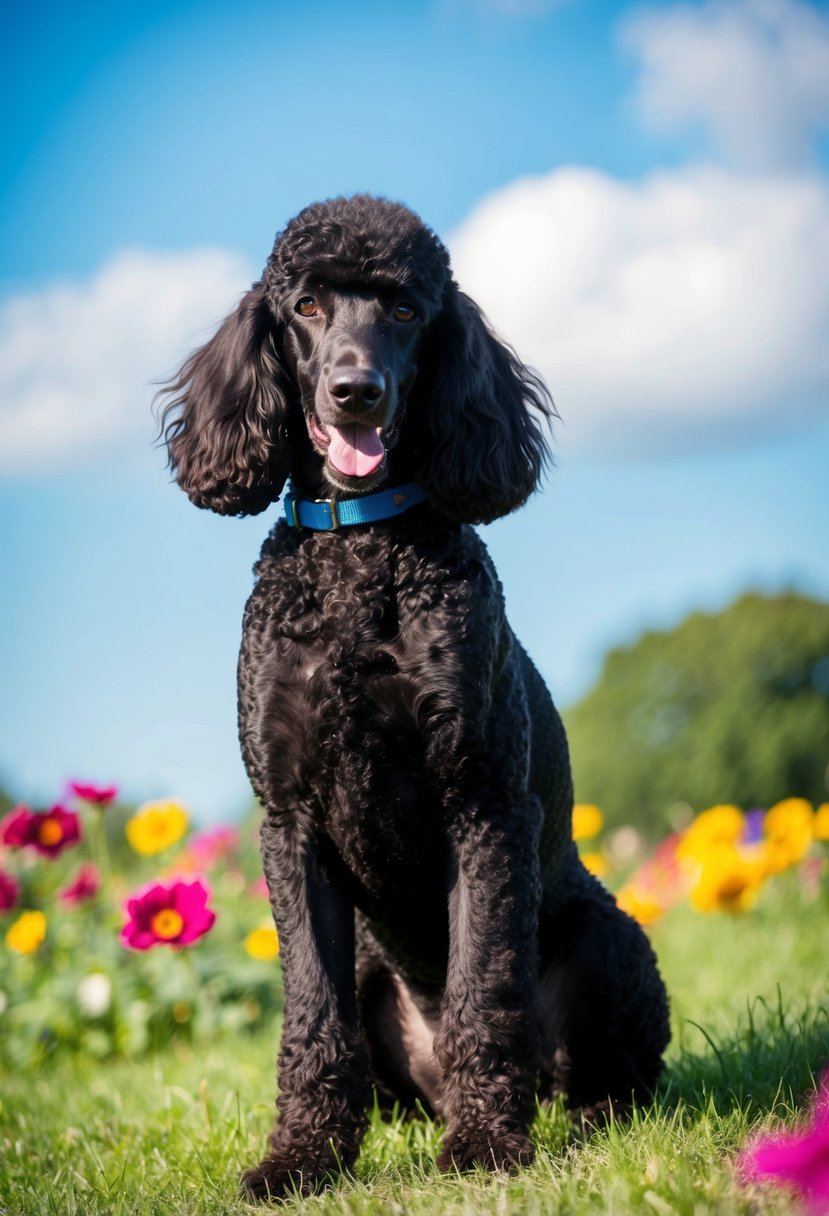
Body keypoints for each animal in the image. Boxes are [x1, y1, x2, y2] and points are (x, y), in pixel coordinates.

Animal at [158, 194, 666, 1201]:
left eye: (403, 310)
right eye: (306, 305)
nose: (356, 390)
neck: (361, 554)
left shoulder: (481, 801)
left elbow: (483, 990)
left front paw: (485, 1145)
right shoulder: (291, 822)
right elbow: (310, 1020)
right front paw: (301, 1159)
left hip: (607, 940)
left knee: (607, 1075)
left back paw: (577, 1119)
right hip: (372, 964)